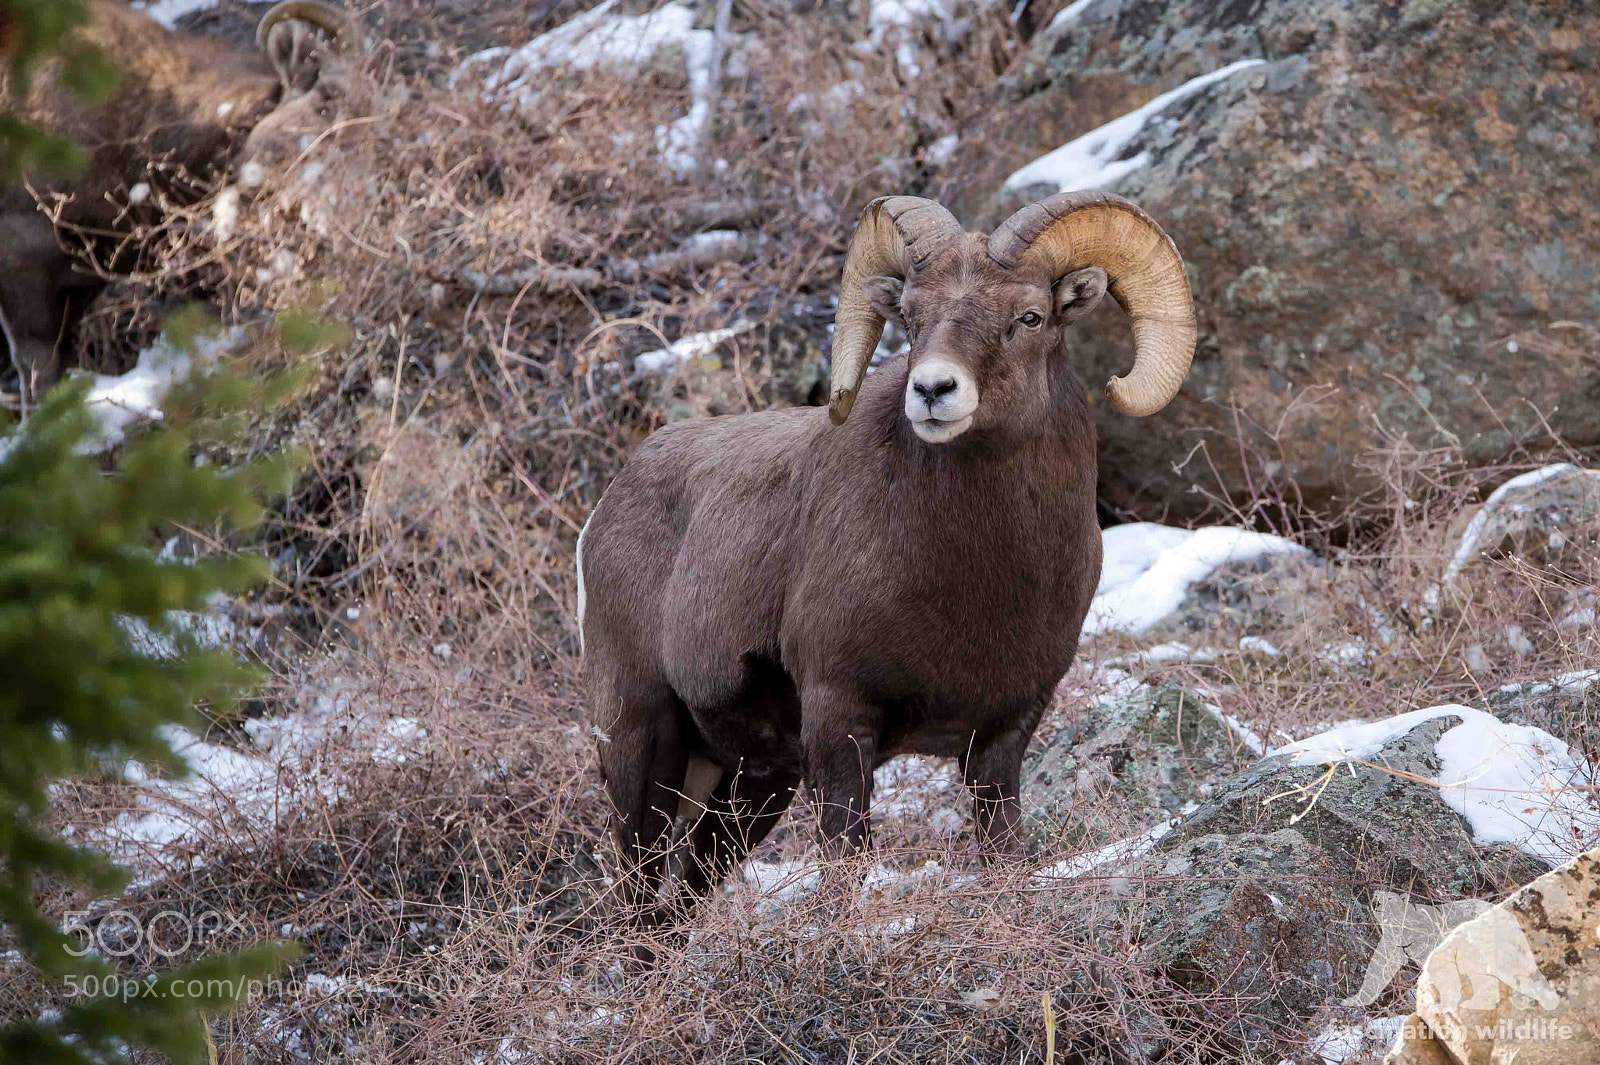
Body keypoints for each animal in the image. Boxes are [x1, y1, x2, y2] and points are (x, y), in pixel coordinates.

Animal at [578, 191, 1197, 921]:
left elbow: (1004, 856)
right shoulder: (840, 718)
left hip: (751, 784)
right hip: (641, 742)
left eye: (1030, 316)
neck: (980, 579)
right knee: (637, 890)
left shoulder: (1002, 738)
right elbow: (843, 869)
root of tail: (609, 503)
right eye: (911, 316)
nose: (933, 390)